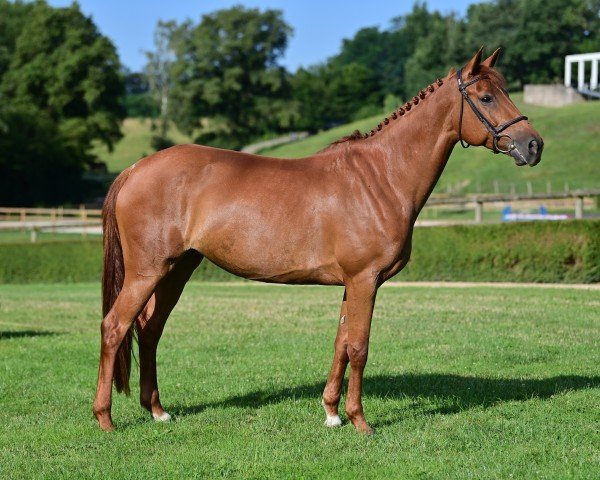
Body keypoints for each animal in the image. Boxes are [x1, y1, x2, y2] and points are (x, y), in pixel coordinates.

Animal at [92, 47, 544, 432]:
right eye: (486, 97)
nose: (533, 145)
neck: (381, 176)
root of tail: (134, 169)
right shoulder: (364, 280)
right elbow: (359, 347)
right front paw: (360, 422)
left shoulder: (354, 283)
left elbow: (341, 343)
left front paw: (331, 413)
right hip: (147, 272)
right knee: (115, 326)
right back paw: (105, 419)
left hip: (177, 269)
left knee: (149, 330)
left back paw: (157, 411)